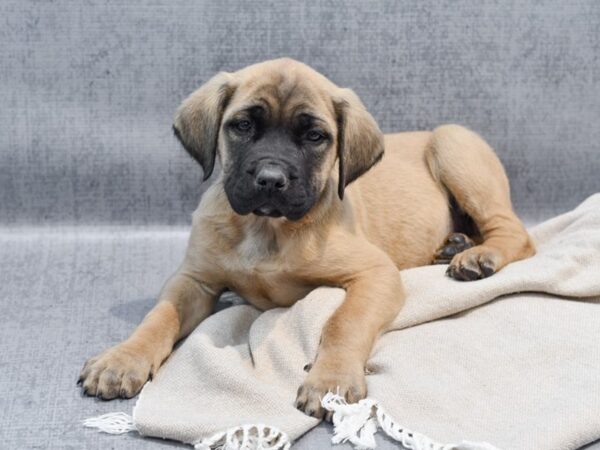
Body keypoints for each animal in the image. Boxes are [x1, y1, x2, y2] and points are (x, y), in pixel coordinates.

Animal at [79, 57, 536, 418]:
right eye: (242, 126)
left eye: (315, 137)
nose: (270, 179)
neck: (267, 229)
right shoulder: (194, 280)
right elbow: (159, 317)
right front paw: (122, 360)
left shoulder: (375, 273)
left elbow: (344, 322)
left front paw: (330, 380)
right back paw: (458, 244)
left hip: (453, 144)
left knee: (517, 233)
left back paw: (477, 257)